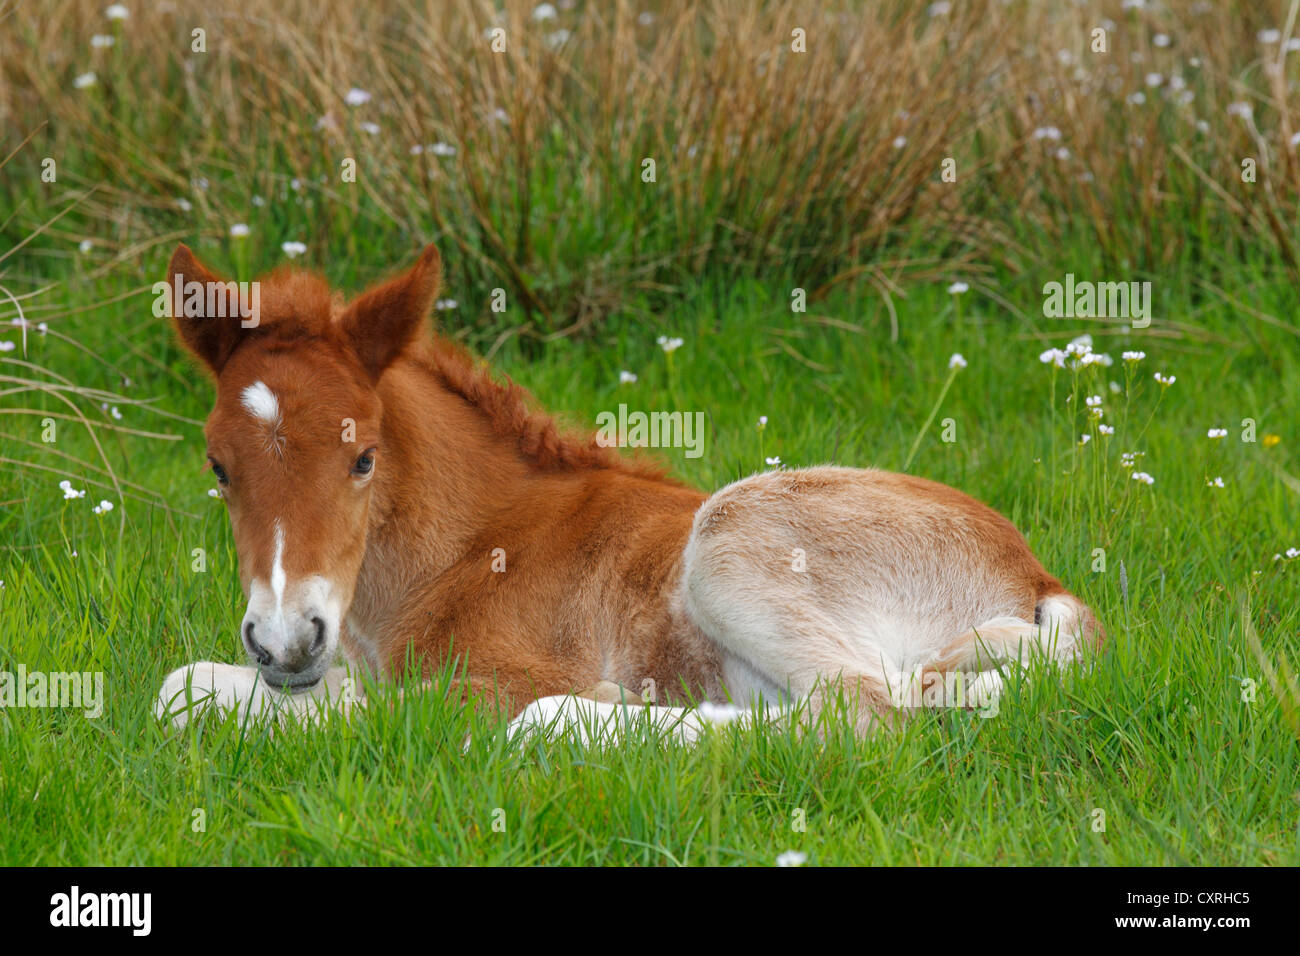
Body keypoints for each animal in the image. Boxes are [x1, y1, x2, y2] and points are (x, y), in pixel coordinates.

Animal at [155, 243, 1102, 739]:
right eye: (218, 467)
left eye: (363, 459)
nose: (285, 641)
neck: (460, 553)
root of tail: (1034, 573)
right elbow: (179, 686)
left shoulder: (492, 678)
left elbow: (406, 713)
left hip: (729, 535)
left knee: (854, 715)